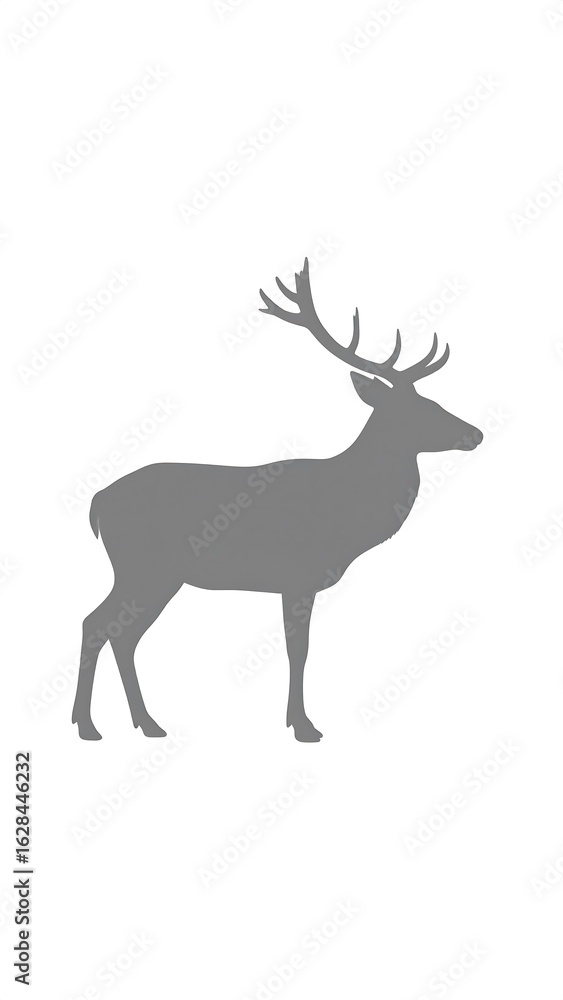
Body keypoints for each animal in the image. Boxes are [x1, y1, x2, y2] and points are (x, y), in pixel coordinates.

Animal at [72, 259, 482, 742]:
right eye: (418, 410)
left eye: (434, 401)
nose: (475, 433)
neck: (347, 509)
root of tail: (98, 501)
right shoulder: (297, 575)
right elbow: (298, 649)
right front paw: (304, 726)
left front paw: (297, 721)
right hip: (144, 567)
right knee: (98, 624)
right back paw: (89, 726)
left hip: (153, 575)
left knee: (120, 633)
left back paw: (144, 724)